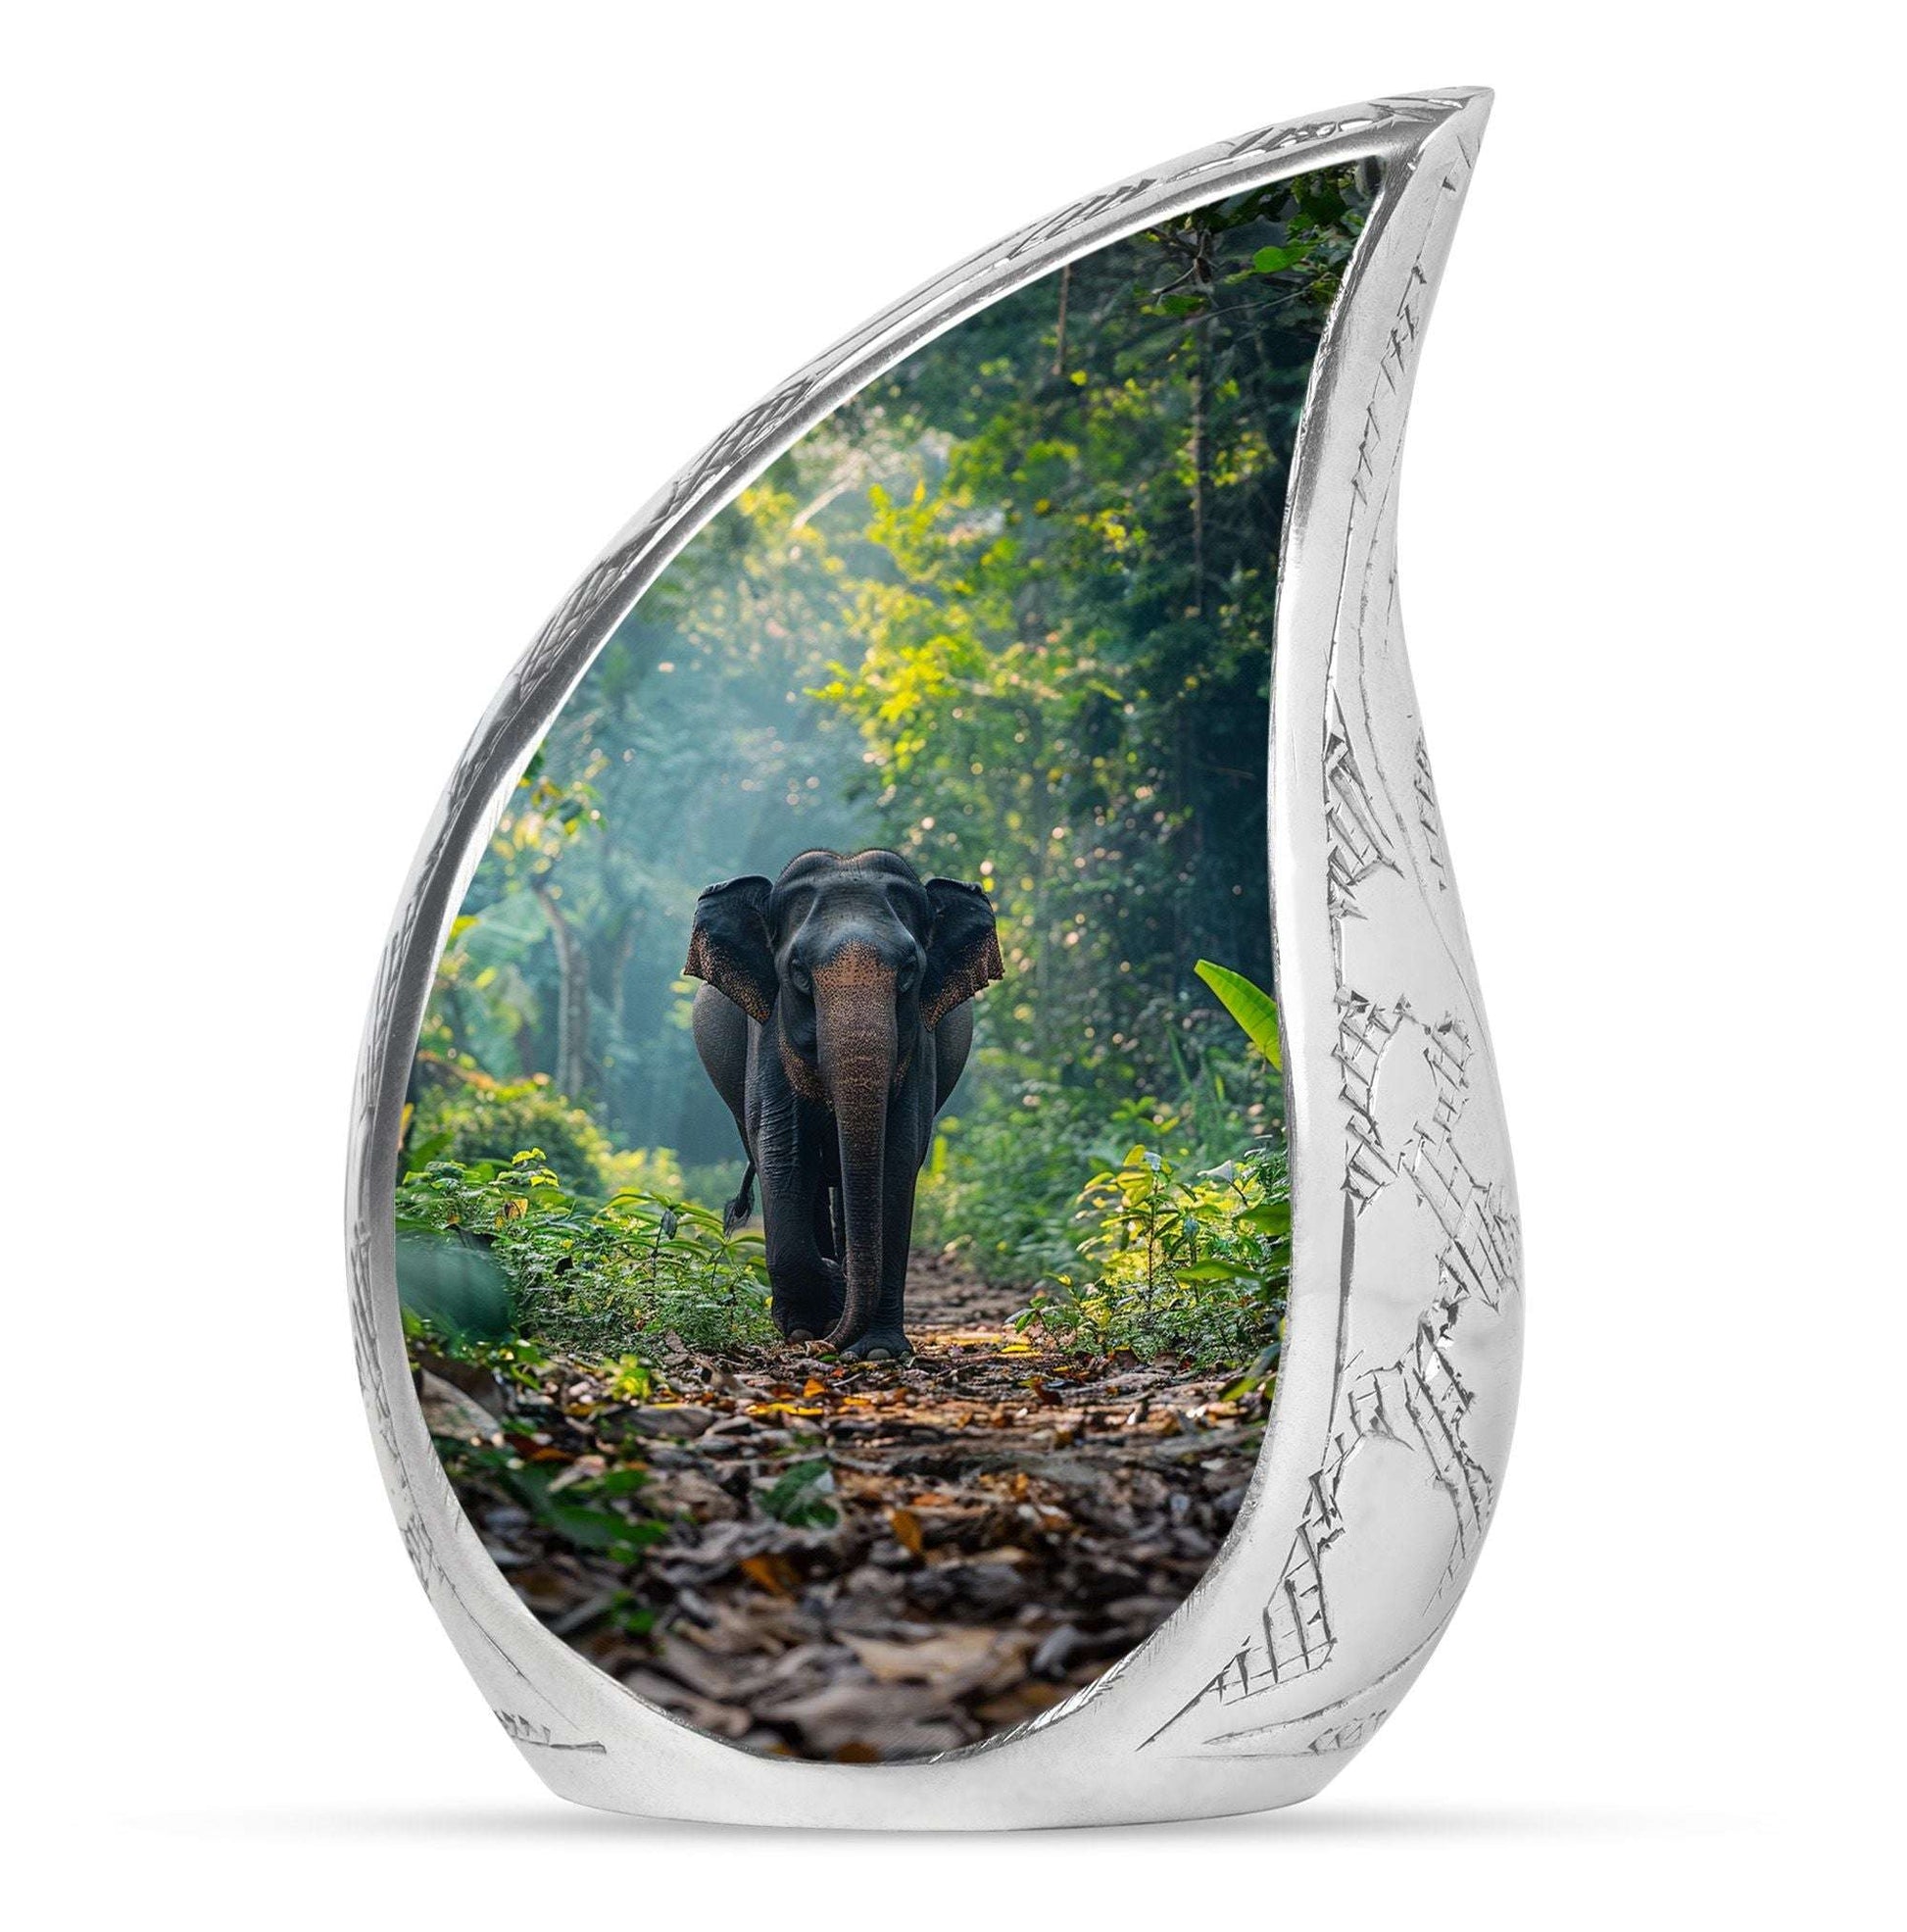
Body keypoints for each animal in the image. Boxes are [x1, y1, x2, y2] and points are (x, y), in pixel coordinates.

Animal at [684, 848, 1003, 1360]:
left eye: (909, 970)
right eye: (797, 971)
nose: (830, 1343)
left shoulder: (919, 1046)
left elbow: (897, 1157)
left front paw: (878, 1350)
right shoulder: (768, 1032)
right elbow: (783, 1149)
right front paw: (815, 1316)